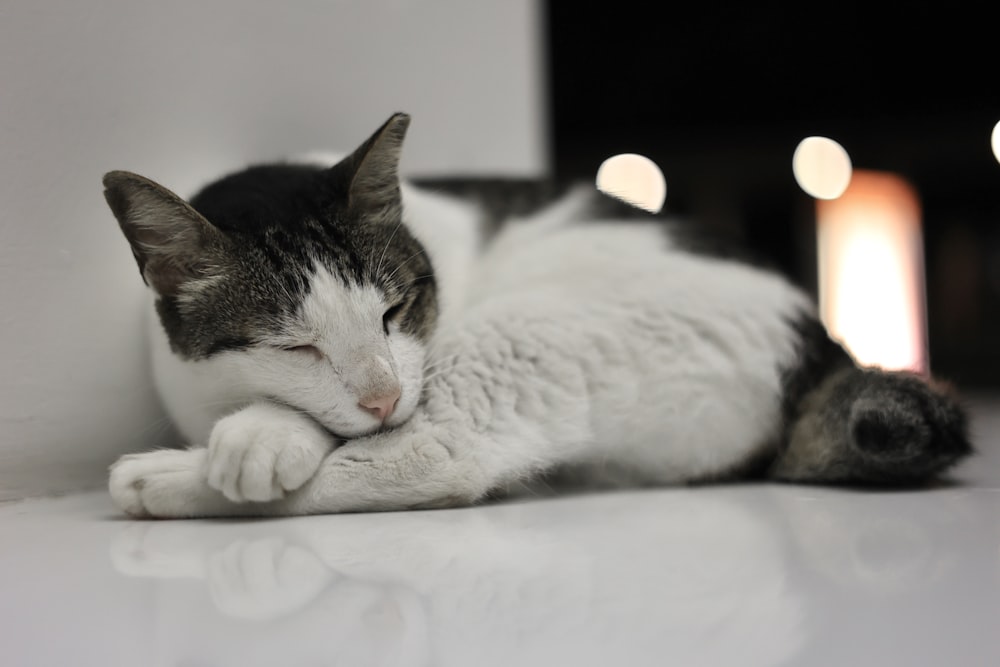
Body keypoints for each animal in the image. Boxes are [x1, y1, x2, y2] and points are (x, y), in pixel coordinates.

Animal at [105, 112, 972, 520]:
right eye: (296, 346)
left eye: (395, 310)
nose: (384, 396)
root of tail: (826, 341)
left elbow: (337, 435)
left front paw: (261, 437)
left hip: (529, 333)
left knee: (435, 459)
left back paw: (163, 479)